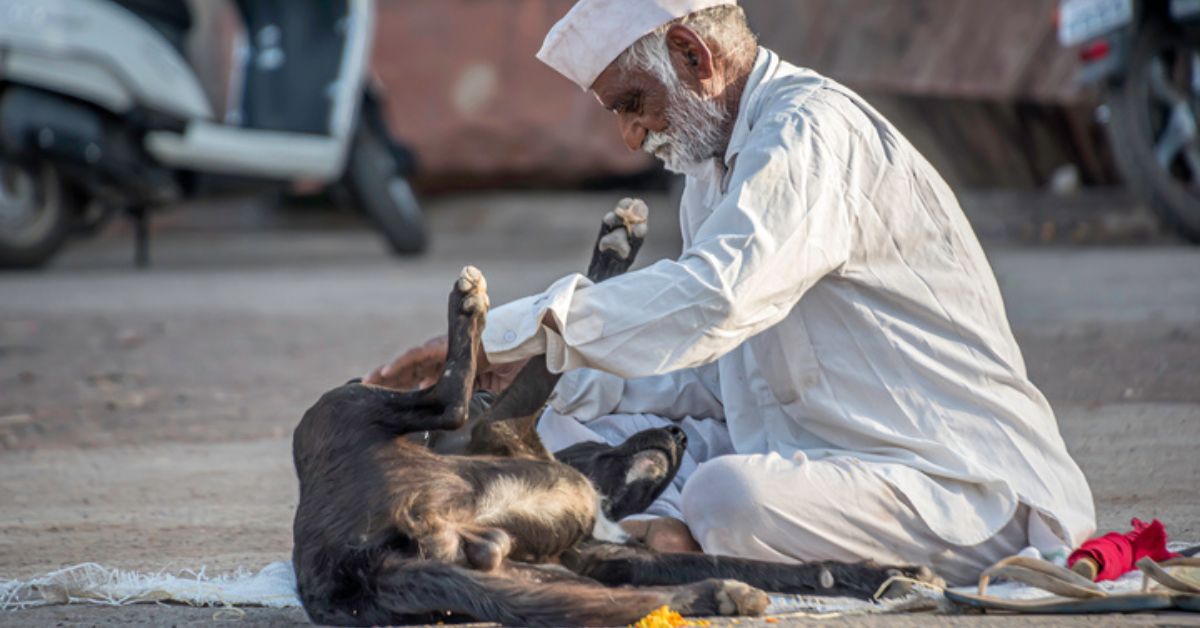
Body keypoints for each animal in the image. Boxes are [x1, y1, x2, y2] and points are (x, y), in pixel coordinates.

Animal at [290, 200, 936, 624]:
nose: (677, 433)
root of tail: (348, 568)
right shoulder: (500, 427)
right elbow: (555, 342)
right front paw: (616, 244)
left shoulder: (611, 559)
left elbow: (754, 564)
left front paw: (863, 576)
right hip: (338, 406)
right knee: (446, 402)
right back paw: (466, 308)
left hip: (533, 579)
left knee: (618, 605)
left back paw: (716, 597)